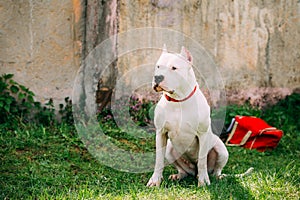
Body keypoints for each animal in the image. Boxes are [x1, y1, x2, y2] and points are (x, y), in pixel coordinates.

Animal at [146, 44, 229, 187]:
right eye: (158, 66)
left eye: (174, 68)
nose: (157, 77)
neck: (178, 100)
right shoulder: (161, 133)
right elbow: (158, 161)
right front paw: (155, 180)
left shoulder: (202, 134)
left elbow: (202, 161)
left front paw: (203, 181)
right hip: (170, 150)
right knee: (184, 170)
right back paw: (178, 176)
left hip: (221, 149)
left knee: (214, 169)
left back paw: (216, 176)